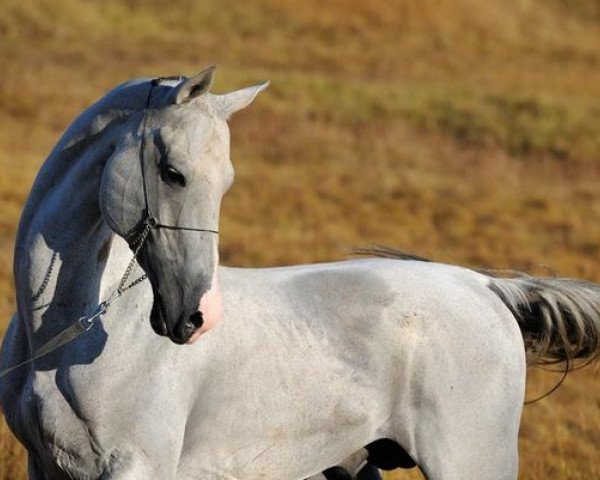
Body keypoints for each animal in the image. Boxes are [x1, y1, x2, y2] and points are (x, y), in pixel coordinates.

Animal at [0, 64, 596, 480]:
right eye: (173, 173)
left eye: (226, 182)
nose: (197, 317)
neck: (65, 334)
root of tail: (483, 285)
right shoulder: (45, 466)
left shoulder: (135, 467)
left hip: (471, 461)